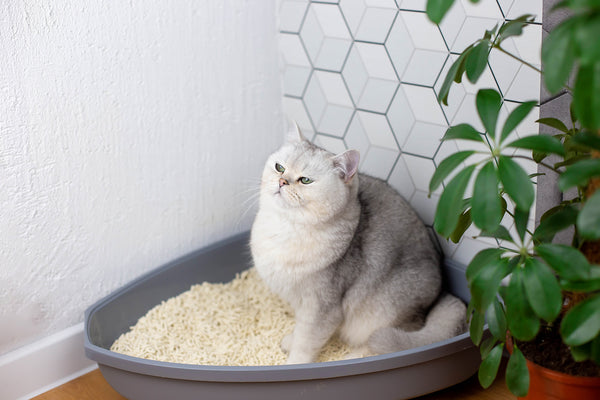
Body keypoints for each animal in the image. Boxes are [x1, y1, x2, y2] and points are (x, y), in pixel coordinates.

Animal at [248, 123, 464, 364]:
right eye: (279, 167)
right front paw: (290, 341)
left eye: (305, 180)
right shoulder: (300, 304)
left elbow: (306, 342)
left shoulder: (321, 308)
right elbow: (299, 331)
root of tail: (441, 293)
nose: (282, 181)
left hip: (384, 313)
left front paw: (294, 364)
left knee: (390, 345)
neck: (285, 227)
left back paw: (354, 357)